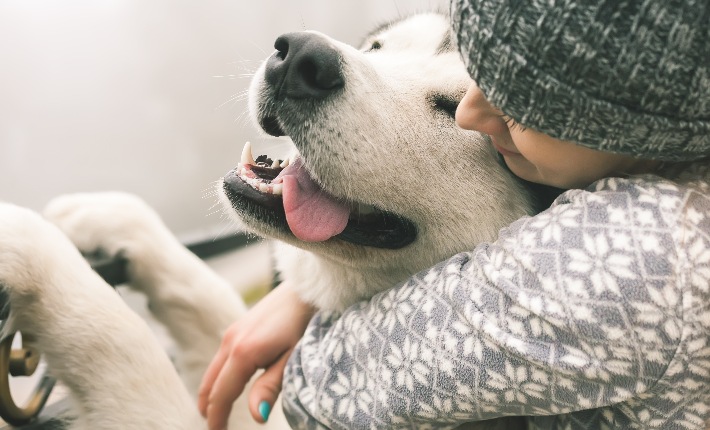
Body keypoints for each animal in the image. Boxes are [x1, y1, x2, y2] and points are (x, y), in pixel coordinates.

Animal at [0, 11, 540, 428]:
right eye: (377, 47)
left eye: (453, 108)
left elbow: (122, 344)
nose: (301, 57)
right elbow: (210, 300)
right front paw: (111, 218)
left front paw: (26, 242)